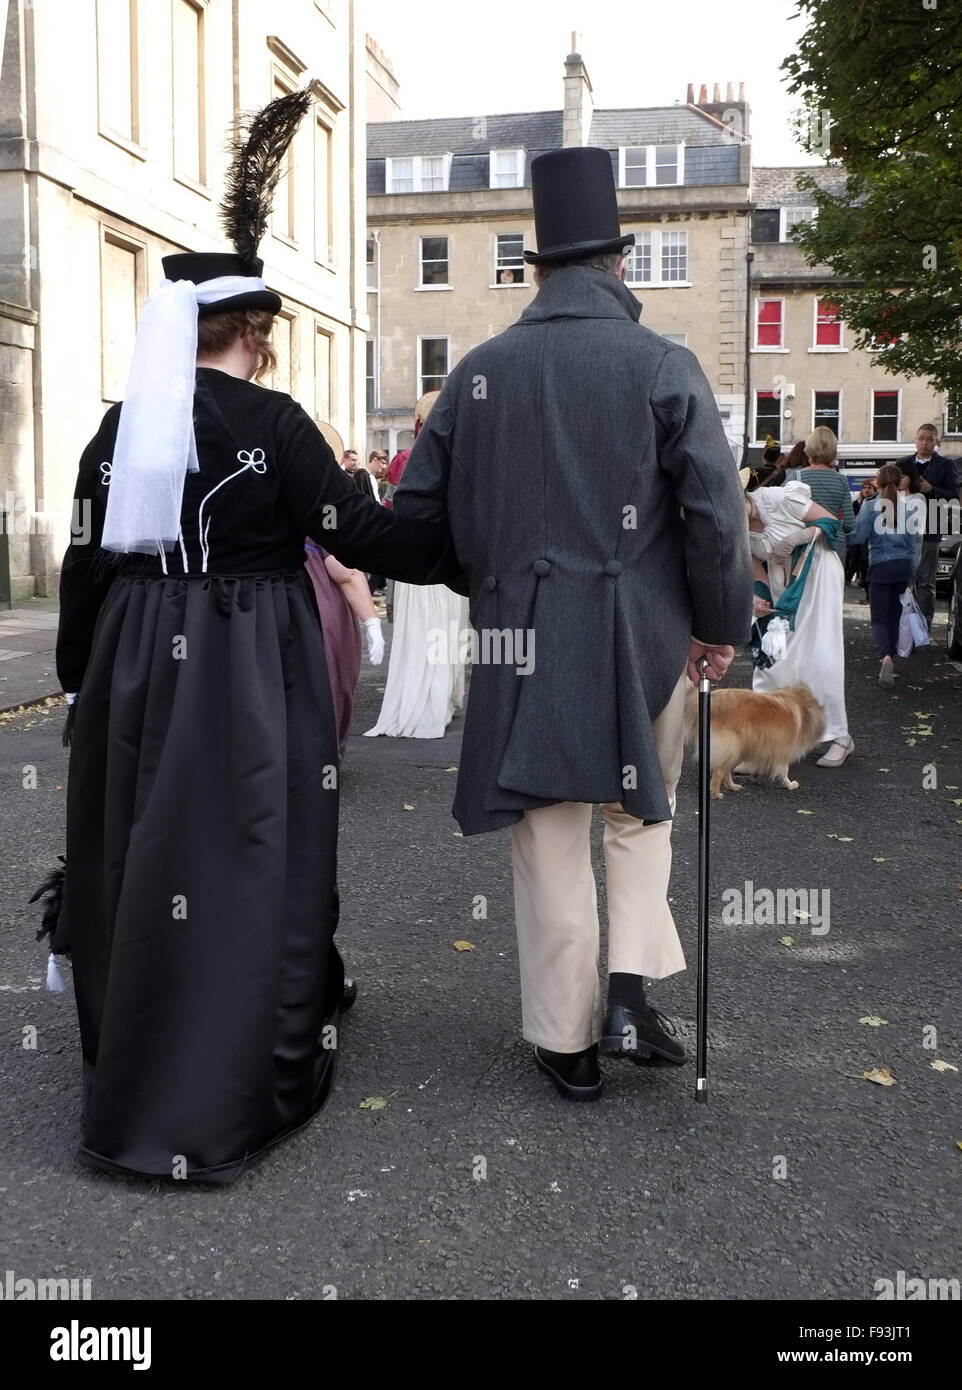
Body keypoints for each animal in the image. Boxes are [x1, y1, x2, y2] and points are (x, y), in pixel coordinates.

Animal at [683, 686, 828, 800]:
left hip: (737, 747)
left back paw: (732, 786)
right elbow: (784, 770)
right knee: (719, 771)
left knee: (726, 770)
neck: (800, 704)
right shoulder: (783, 750)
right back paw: (715, 793)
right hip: (731, 746)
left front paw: (756, 773)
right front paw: (790, 784)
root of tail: (712, 700)